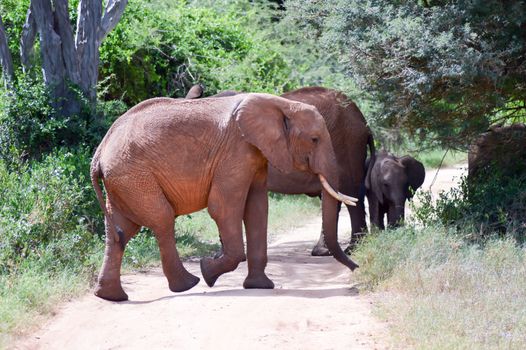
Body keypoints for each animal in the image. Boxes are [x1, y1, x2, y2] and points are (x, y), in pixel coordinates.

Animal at [93, 93, 360, 300]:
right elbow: (222, 207)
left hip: (123, 180)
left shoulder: (257, 154)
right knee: (161, 219)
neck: (280, 103)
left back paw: (111, 297)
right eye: (314, 139)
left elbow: (257, 209)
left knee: (120, 232)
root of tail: (98, 154)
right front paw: (208, 271)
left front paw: (260, 286)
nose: (356, 267)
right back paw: (188, 284)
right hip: (134, 176)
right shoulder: (236, 152)